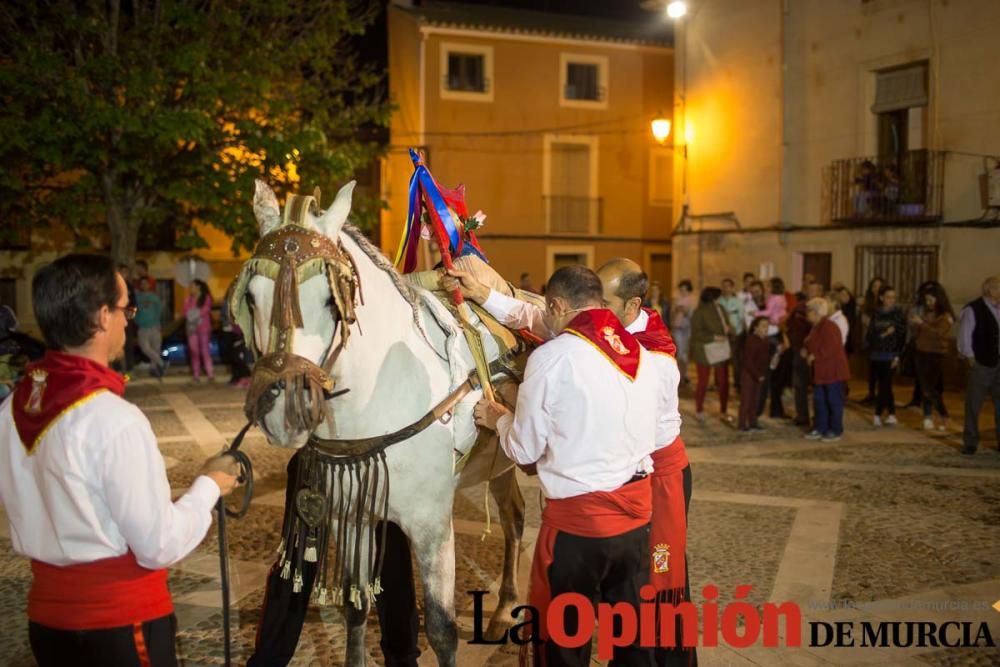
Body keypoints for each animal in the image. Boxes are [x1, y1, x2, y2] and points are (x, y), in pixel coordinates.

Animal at [237, 180, 528, 664]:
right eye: (250, 296)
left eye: (329, 299)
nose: (284, 410)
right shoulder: (351, 517)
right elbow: (357, 610)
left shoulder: (431, 523)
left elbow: (443, 629)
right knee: (516, 515)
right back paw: (505, 608)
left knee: (516, 522)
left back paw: (506, 610)